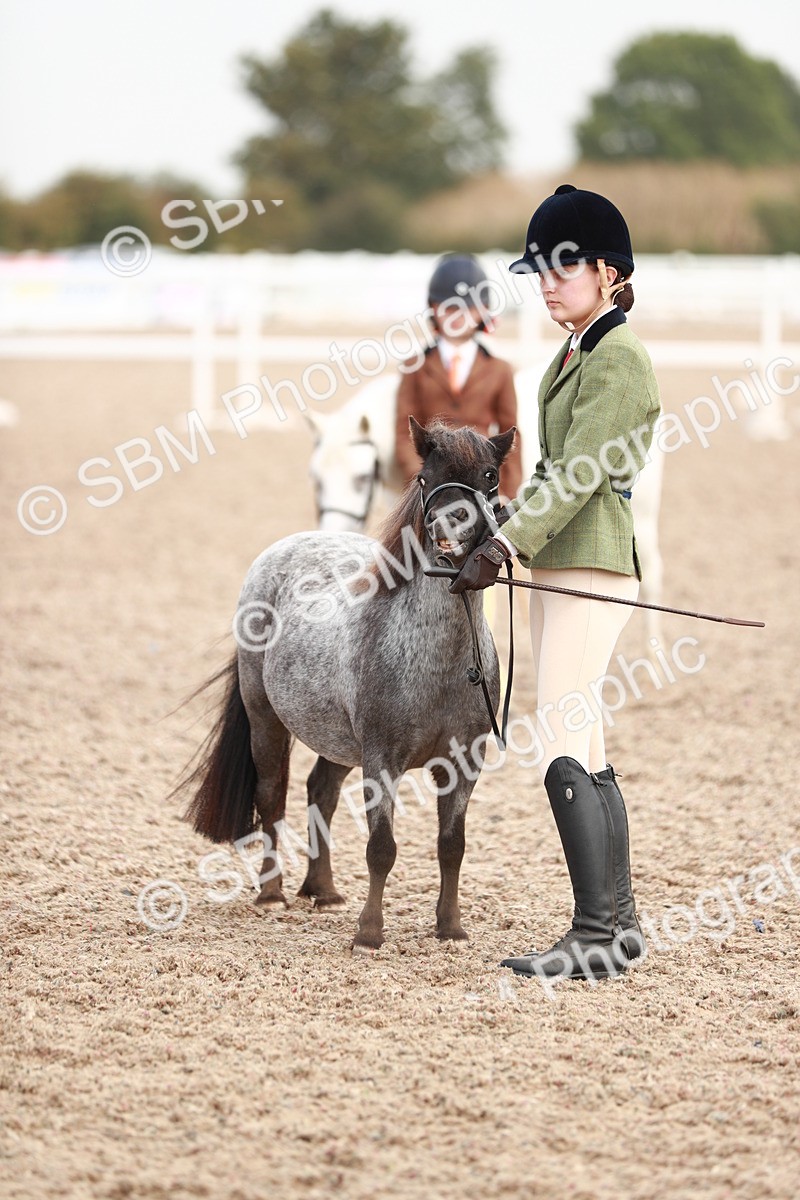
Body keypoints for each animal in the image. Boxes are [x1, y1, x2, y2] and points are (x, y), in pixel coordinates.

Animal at [182, 418, 515, 952]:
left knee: (321, 791)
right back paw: (272, 894)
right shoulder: (381, 761)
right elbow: (381, 847)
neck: (439, 663)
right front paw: (369, 933)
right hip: (265, 720)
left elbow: (452, 845)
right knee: (272, 796)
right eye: (424, 477)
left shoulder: (464, 763)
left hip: (338, 741)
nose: (449, 527)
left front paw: (451, 928)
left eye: (489, 476)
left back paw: (324, 891)